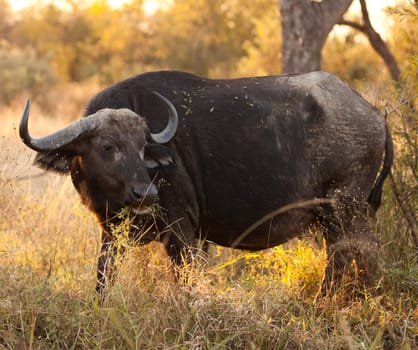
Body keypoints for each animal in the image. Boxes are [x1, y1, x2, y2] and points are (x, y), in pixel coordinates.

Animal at [18, 69, 392, 294]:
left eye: (142, 147)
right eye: (108, 146)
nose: (145, 193)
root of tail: (374, 114)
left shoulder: (182, 233)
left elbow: (185, 284)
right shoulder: (111, 237)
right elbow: (102, 282)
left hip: (345, 210)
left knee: (359, 256)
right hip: (334, 218)